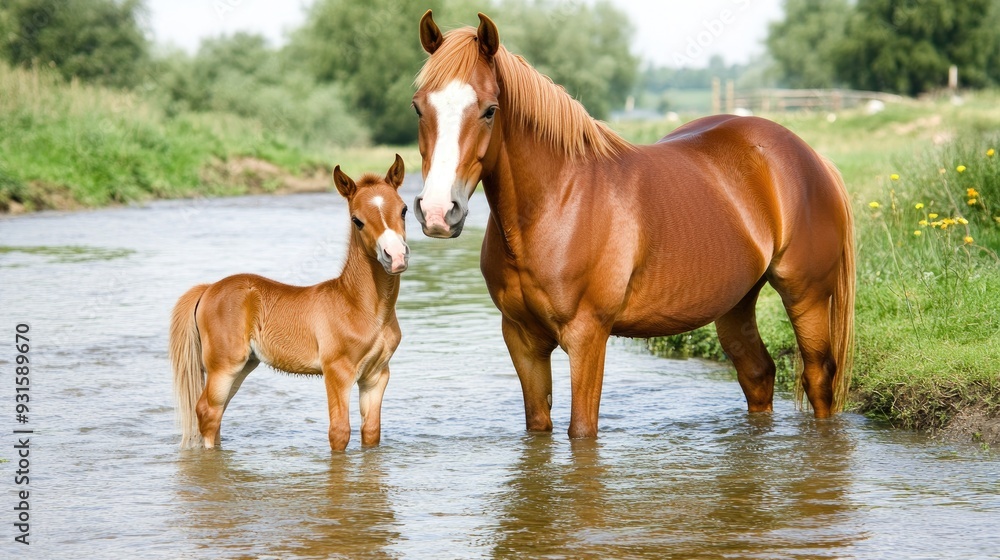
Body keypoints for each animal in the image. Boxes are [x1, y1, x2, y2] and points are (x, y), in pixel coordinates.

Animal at [170, 155, 410, 451]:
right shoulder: (337, 372)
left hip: (244, 366)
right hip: (224, 366)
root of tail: (209, 288)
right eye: (357, 220)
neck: (362, 307)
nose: (395, 256)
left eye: (404, 210)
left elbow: (372, 433)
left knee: (217, 416)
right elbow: (339, 432)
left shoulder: (376, 376)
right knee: (207, 411)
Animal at [411, 12, 855, 439]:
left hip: (807, 296)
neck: (557, 202)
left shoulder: (587, 336)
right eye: (418, 107)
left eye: (490, 110)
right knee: (757, 374)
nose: (438, 212)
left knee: (818, 378)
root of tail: (810, 156)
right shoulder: (521, 340)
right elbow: (538, 428)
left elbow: (582, 431)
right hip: (736, 301)